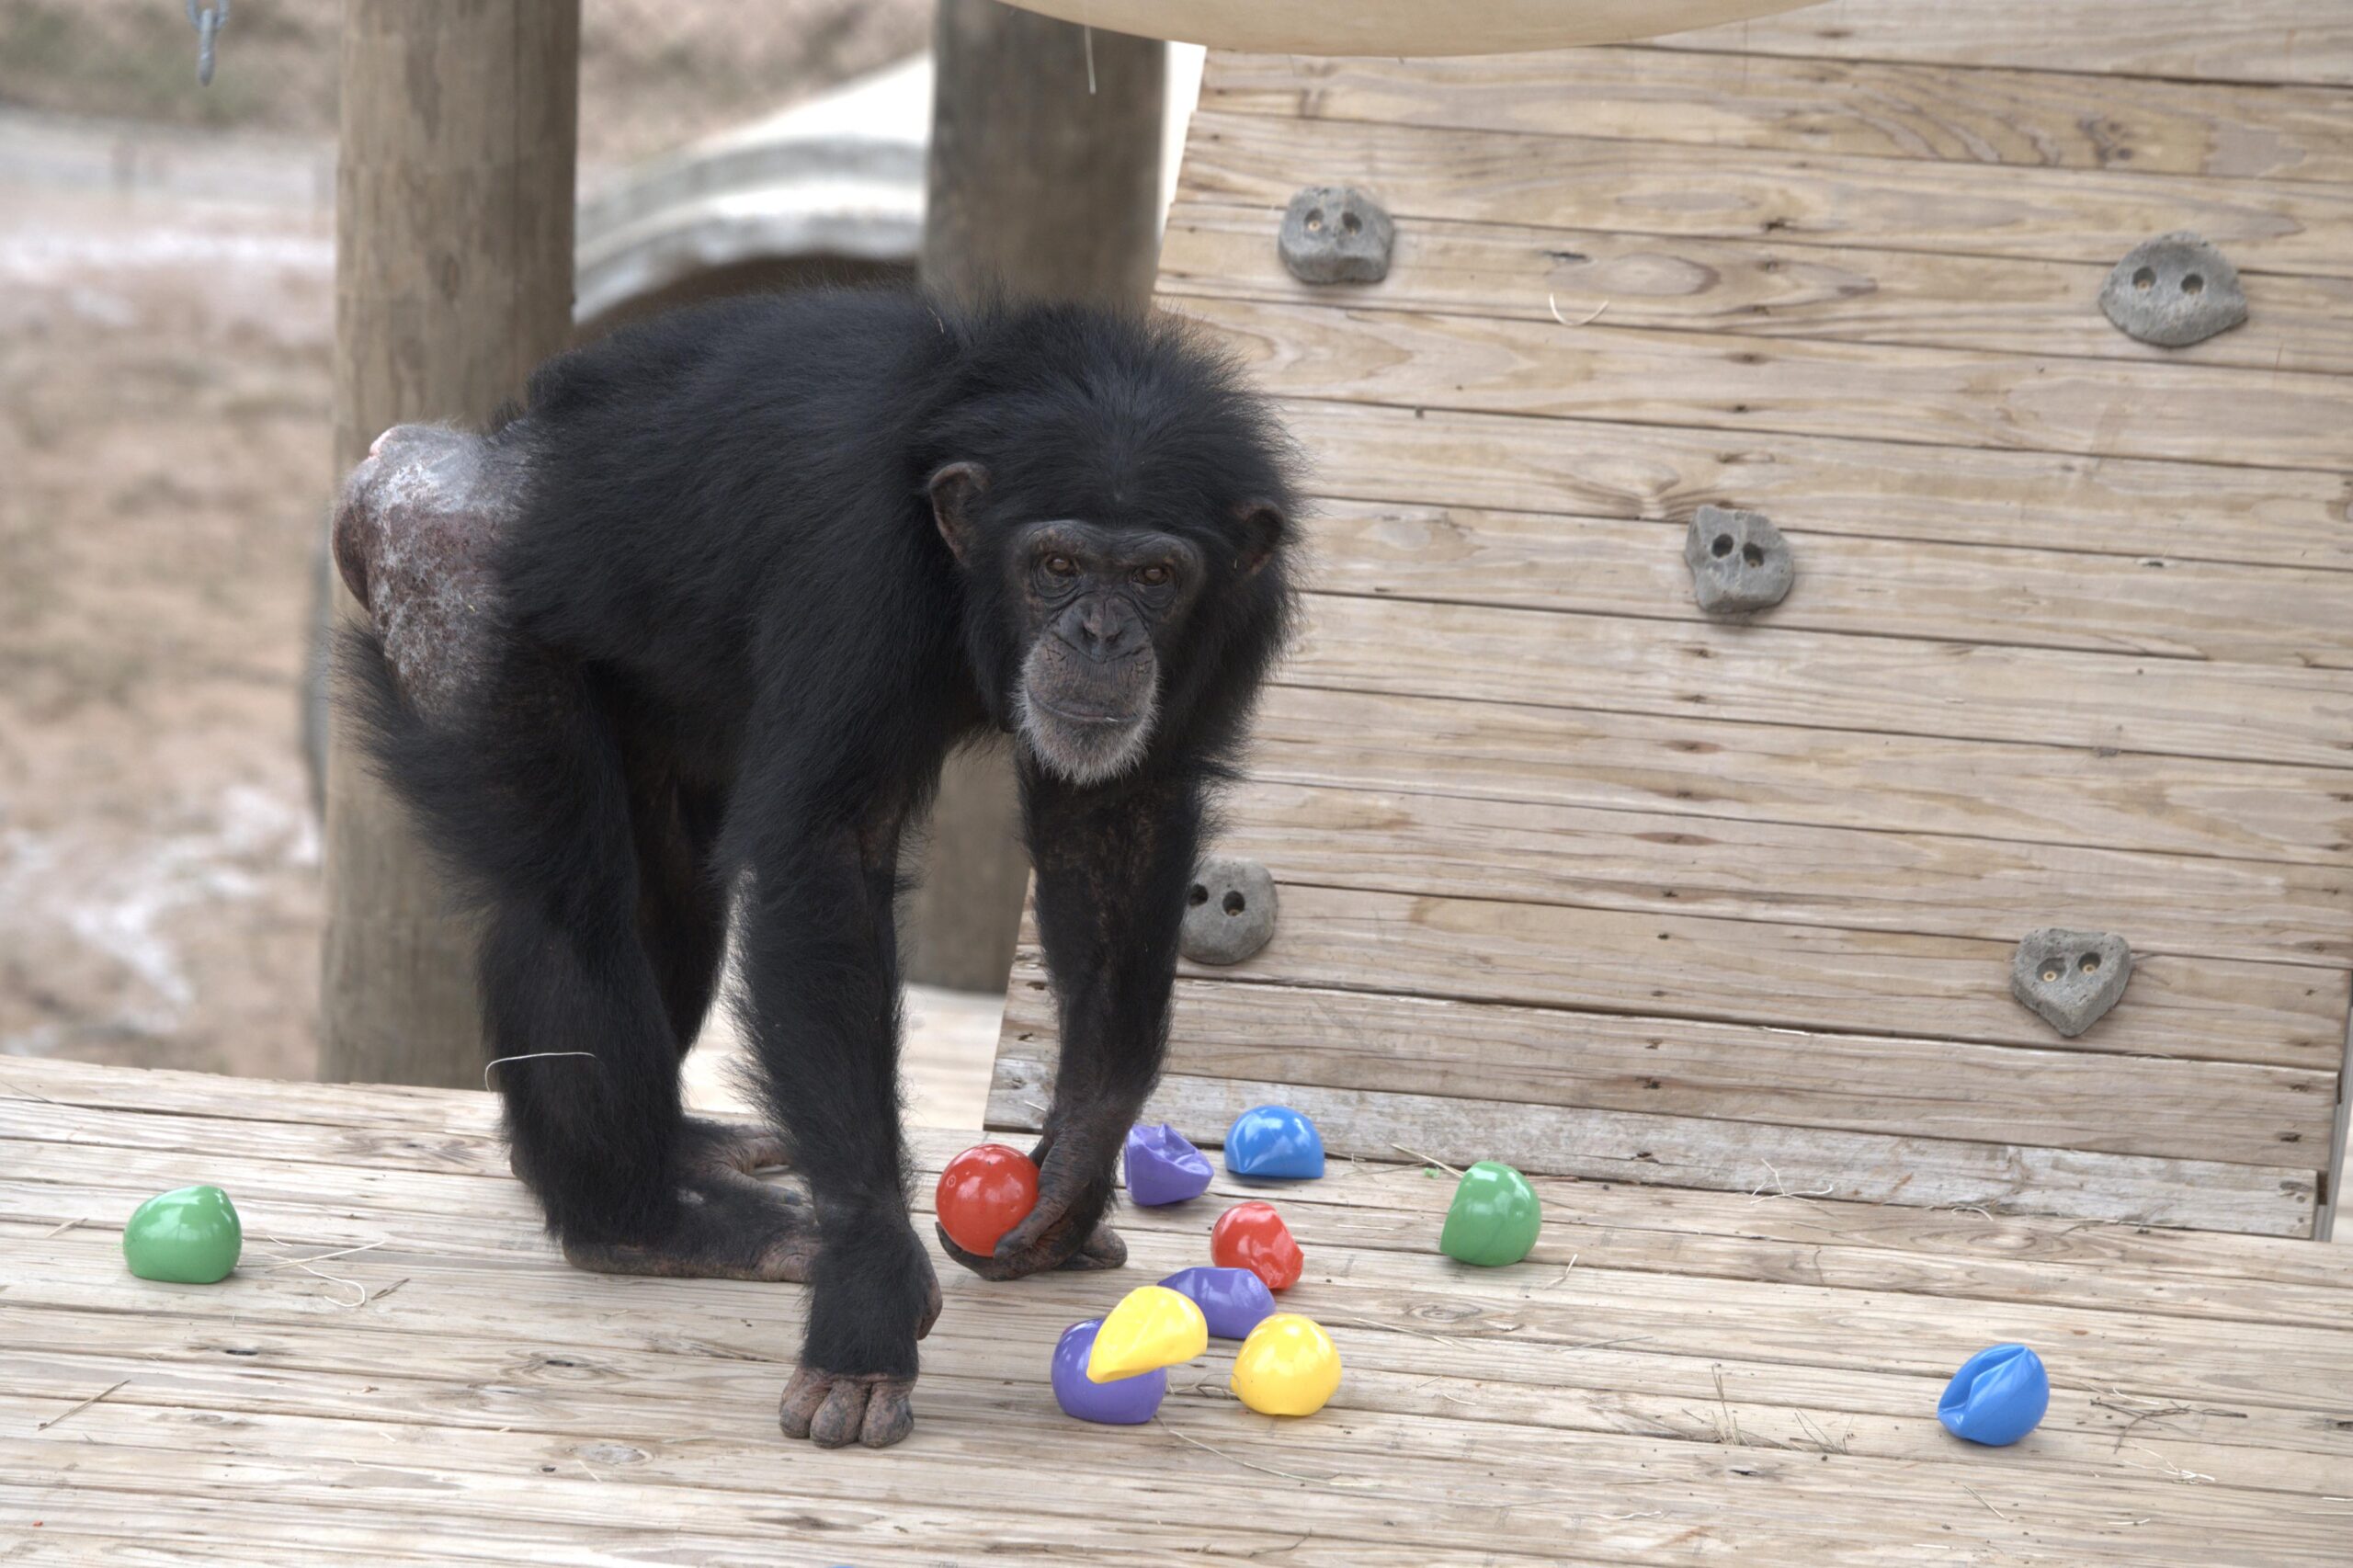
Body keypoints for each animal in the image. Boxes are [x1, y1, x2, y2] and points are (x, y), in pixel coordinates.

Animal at [331, 290, 1299, 1440]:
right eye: (1059, 564)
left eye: (1155, 575)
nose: (1102, 633)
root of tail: (409, 457)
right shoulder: (854, 566)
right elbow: (822, 863)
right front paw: (866, 1302)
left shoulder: (1229, 619)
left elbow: (1117, 817)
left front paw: (1068, 1172)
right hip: (451, 591)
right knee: (570, 907)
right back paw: (642, 1222)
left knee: (671, 905)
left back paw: (670, 1154)